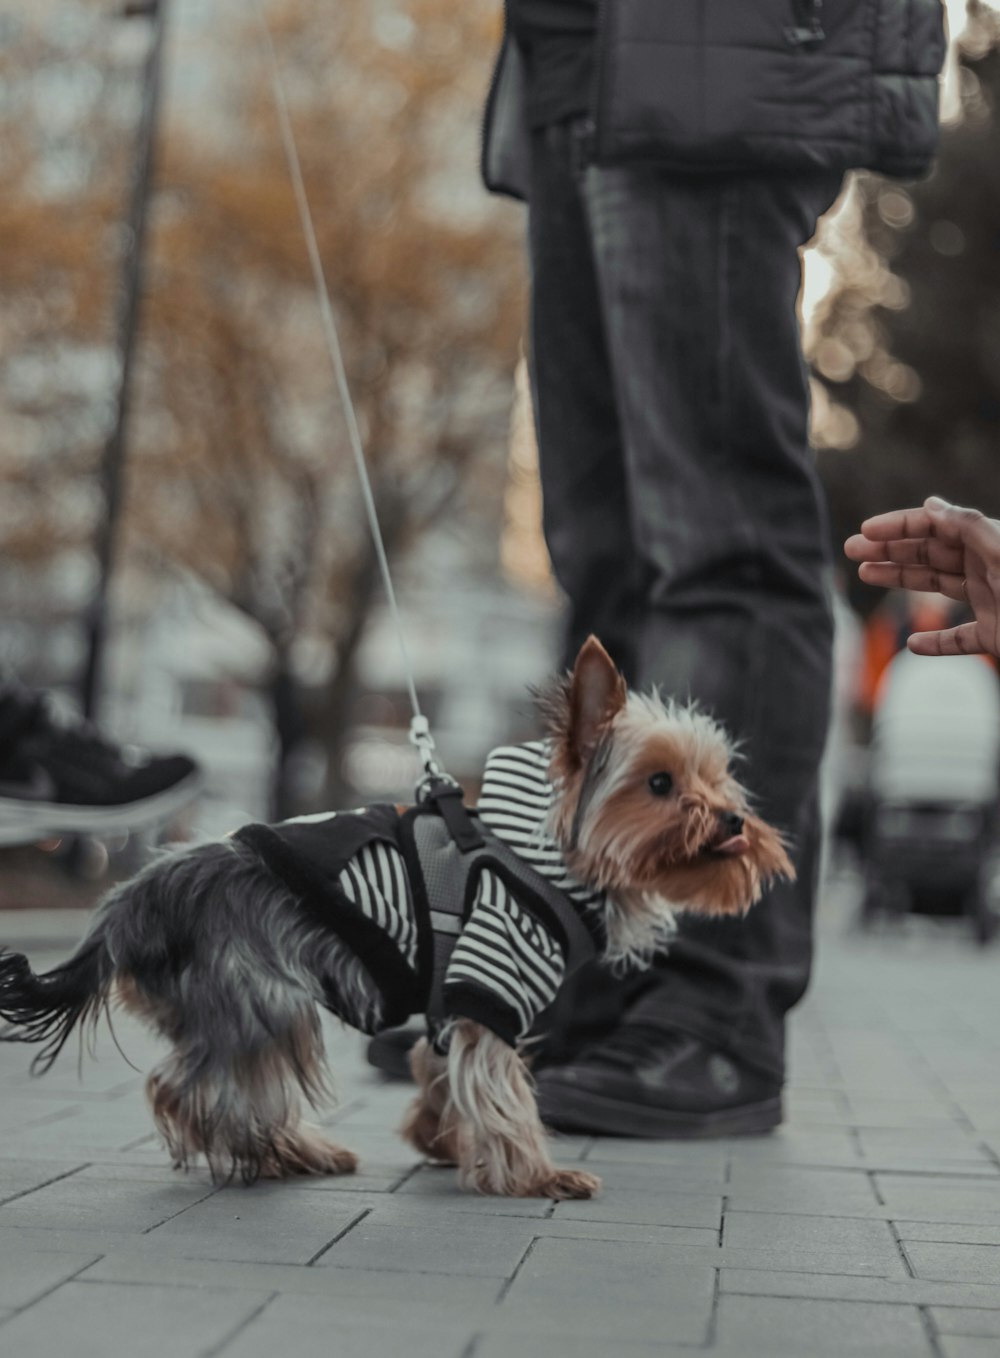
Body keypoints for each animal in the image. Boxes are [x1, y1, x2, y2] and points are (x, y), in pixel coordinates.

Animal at [1, 635, 798, 1200]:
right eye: (660, 784)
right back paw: (286, 1151)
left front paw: (440, 1138)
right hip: (259, 994)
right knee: (203, 1086)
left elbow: (441, 1064)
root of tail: (127, 902)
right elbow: (502, 1083)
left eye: (720, 779)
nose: (733, 823)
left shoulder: (453, 997)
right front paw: (534, 1174)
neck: (546, 856)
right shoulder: (495, 967)